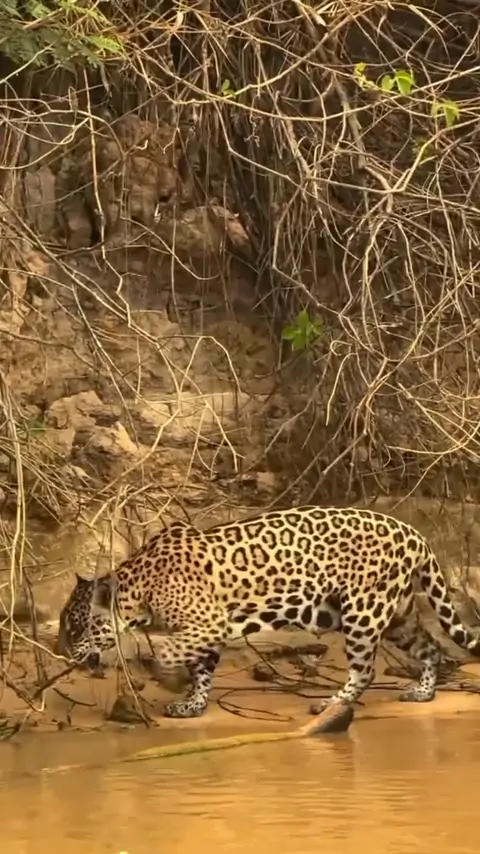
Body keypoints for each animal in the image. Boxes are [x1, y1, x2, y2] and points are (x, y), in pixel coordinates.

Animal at [54, 506, 480, 719]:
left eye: (76, 628)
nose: (60, 652)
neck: (139, 587)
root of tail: (416, 534)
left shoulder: (209, 623)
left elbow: (176, 650)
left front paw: (166, 669)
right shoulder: (210, 628)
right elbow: (203, 668)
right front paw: (193, 703)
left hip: (363, 610)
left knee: (365, 670)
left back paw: (332, 703)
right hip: (396, 615)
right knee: (430, 648)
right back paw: (423, 692)